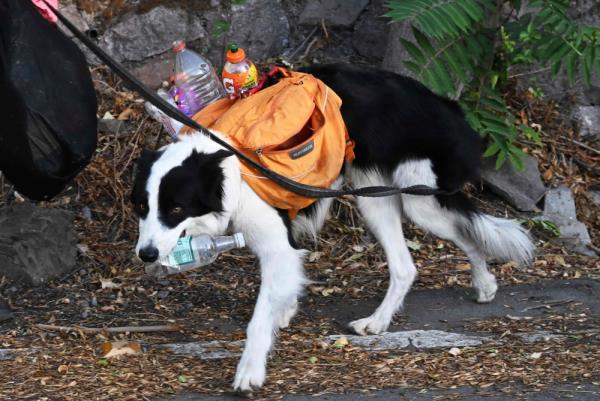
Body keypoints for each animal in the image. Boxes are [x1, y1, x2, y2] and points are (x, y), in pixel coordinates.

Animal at [132, 63, 536, 390]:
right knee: (416, 259)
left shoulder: (276, 245)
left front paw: (250, 370)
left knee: (457, 236)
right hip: (376, 197)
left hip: (419, 200)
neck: (228, 166)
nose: (145, 255)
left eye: (176, 208)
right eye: (142, 207)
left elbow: (258, 319)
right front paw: (286, 309)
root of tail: (451, 109)